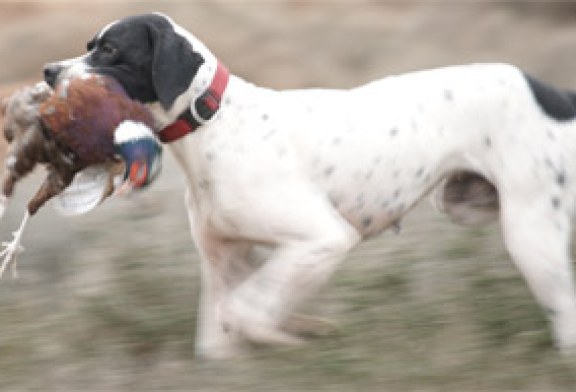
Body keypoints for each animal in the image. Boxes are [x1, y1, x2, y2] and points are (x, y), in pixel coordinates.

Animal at [42, 12, 576, 356]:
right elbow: (222, 333)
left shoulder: (323, 238)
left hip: (530, 238)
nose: (48, 71)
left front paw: (300, 334)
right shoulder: (223, 259)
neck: (216, 124)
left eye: (111, 50)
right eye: (90, 45)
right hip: (468, 205)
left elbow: (249, 310)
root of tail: (552, 92)